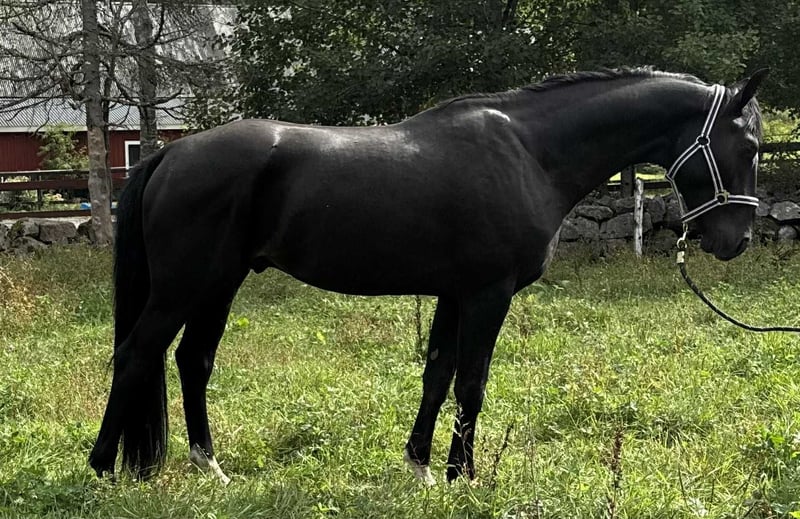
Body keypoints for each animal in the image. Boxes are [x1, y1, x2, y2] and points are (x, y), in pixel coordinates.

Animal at [89, 68, 768, 485]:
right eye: (750, 146)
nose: (734, 240)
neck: (529, 152)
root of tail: (173, 152)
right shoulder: (488, 293)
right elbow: (472, 382)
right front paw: (461, 475)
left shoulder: (452, 292)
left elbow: (437, 375)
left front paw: (420, 465)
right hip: (185, 285)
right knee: (136, 354)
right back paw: (100, 467)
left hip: (219, 283)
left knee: (192, 360)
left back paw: (209, 466)